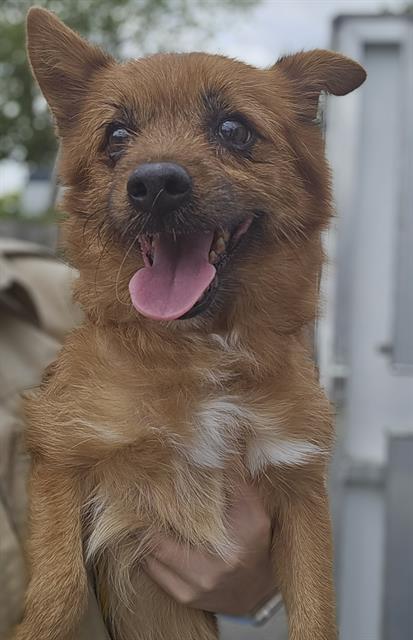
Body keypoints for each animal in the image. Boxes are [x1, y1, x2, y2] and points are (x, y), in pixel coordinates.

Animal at [15, 6, 364, 640]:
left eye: (234, 129)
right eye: (116, 136)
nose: (154, 185)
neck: (197, 352)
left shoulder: (300, 485)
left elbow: (316, 608)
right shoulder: (60, 452)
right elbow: (59, 590)